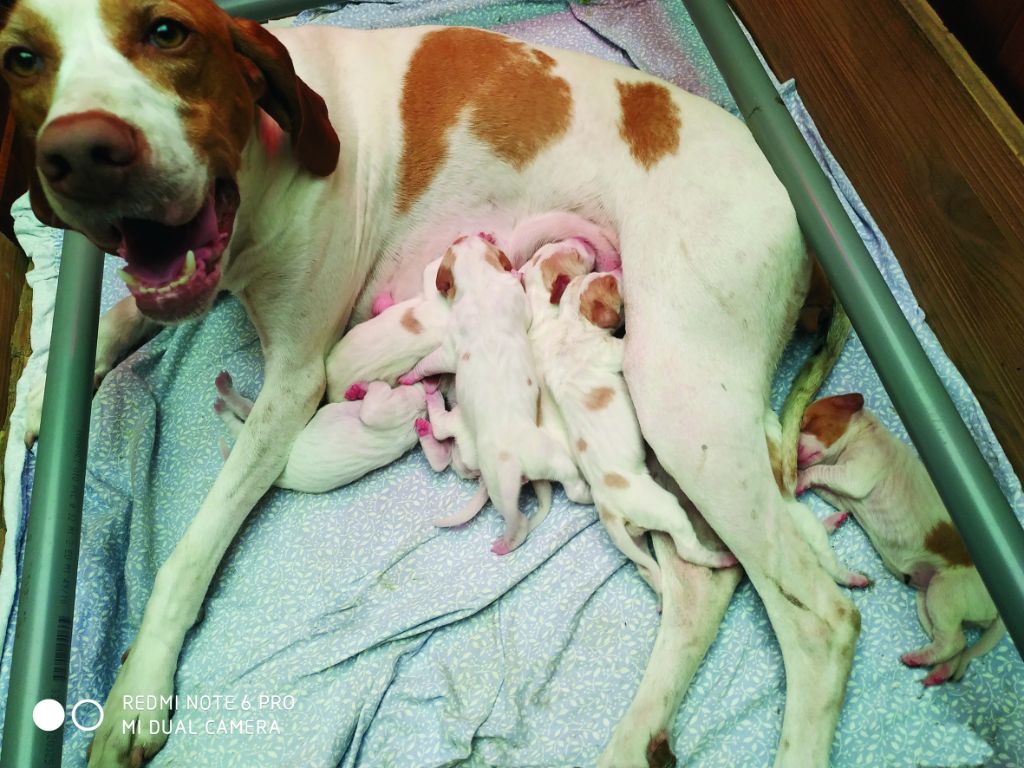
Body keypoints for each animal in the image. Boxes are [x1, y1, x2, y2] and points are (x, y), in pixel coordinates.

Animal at [214, 370, 449, 493]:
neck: (420, 407)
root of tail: (282, 479)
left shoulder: (384, 408)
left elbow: (375, 397)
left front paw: (365, 386)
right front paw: (356, 391)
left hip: (285, 437)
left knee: (244, 422)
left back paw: (222, 400)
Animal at [399, 235, 586, 553]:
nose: (464, 235)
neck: (479, 282)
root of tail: (519, 463)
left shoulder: (450, 347)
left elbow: (431, 361)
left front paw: (411, 375)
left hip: (506, 478)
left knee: (518, 519)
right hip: (551, 458)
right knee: (567, 490)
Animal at [797, 393, 1005, 685]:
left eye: (807, 421)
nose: (793, 450)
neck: (862, 433)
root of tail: (997, 611)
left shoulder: (855, 474)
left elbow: (822, 471)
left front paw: (799, 478)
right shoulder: (843, 496)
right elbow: (826, 487)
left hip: (945, 593)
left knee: (953, 642)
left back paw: (919, 660)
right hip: (927, 600)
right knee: (958, 644)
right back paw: (937, 672)